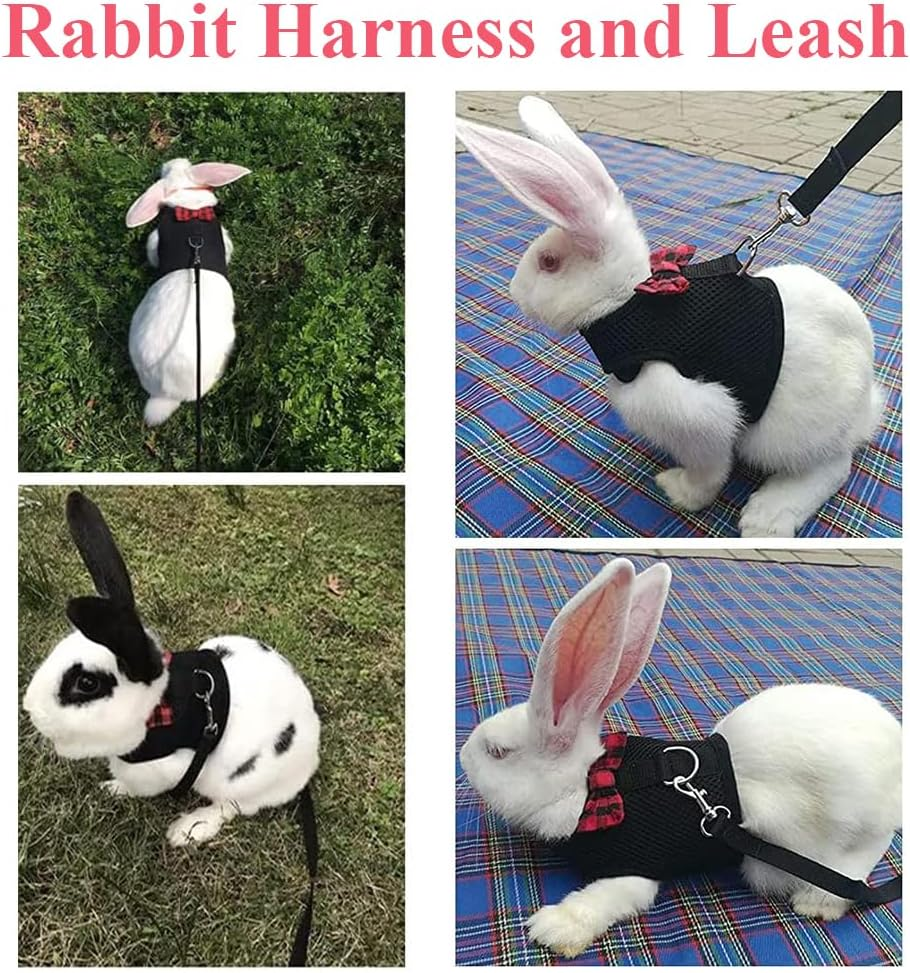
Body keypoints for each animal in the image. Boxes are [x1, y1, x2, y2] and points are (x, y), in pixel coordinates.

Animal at [22, 491, 320, 847]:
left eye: (87, 683)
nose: (29, 708)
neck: (157, 710)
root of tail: (311, 755)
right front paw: (110, 788)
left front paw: (117, 789)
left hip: (246, 783)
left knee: (232, 806)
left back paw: (188, 829)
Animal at [455, 98, 884, 538]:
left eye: (549, 262)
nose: (513, 290)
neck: (626, 303)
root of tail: (865, 405)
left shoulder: (693, 414)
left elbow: (709, 468)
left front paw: (678, 490)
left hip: (787, 434)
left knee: (833, 465)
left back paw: (766, 518)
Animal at [459, 558, 901, 958]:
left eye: (497, 752)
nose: (462, 757)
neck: (591, 784)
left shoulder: (635, 868)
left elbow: (606, 898)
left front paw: (552, 929)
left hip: (830, 841)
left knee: (863, 858)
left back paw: (817, 902)